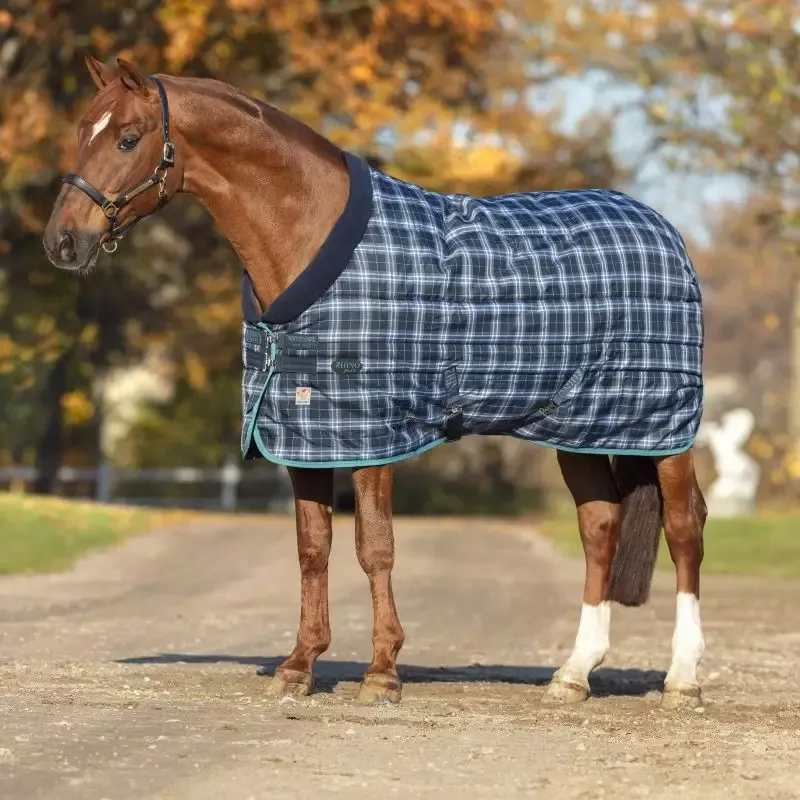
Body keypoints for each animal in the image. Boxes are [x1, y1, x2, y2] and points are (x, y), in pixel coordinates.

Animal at [43, 55, 707, 709]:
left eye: (128, 138)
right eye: (79, 132)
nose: (62, 242)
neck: (308, 236)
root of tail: (662, 228)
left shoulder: (372, 433)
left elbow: (375, 547)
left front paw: (383, 671)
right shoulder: (307, 433)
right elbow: (313, 548)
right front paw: (300, 665)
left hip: (663, 427)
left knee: (684, 527)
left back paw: (683, 678)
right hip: (582, 428)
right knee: (600, 526)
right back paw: (573, 674)